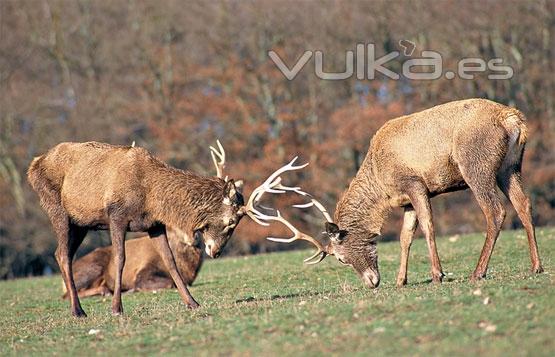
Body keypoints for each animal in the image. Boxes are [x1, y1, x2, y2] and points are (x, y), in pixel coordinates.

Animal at [28, 140, 308, 316]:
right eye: (231, 221)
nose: (216, 252)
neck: (151, 195)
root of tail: (33, 165)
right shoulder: (116, 216)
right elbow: (120, 258)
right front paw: (117, 308)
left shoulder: (154, 224)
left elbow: (170, 262)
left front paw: (193, 303)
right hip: (57, 208)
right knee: (63, 254)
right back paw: (78, 311)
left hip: (81, 223)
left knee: (60, 253)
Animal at [268, 98, 544, 288]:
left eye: (341, 259)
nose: (371, 283)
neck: (381, 186)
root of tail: (513, 119)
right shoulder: (406, 202)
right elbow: (405, 237)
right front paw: (401, 280)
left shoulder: (415, 184)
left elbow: (428, 226)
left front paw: (437, 275)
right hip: (510, 167)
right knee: (524, 204)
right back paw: (536, 266)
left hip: (476, 165)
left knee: (495, 211)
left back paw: (478, 272)